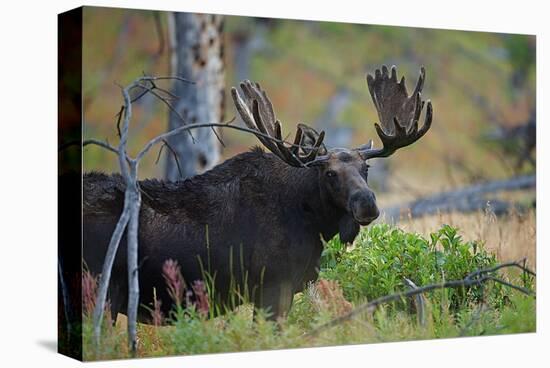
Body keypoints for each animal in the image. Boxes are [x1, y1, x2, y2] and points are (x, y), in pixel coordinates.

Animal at [84, 64, 434, 320]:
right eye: (330, 173)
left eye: (366, 169)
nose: (367, 204)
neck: (313, 225)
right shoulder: (272, 288)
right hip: (99, 289)